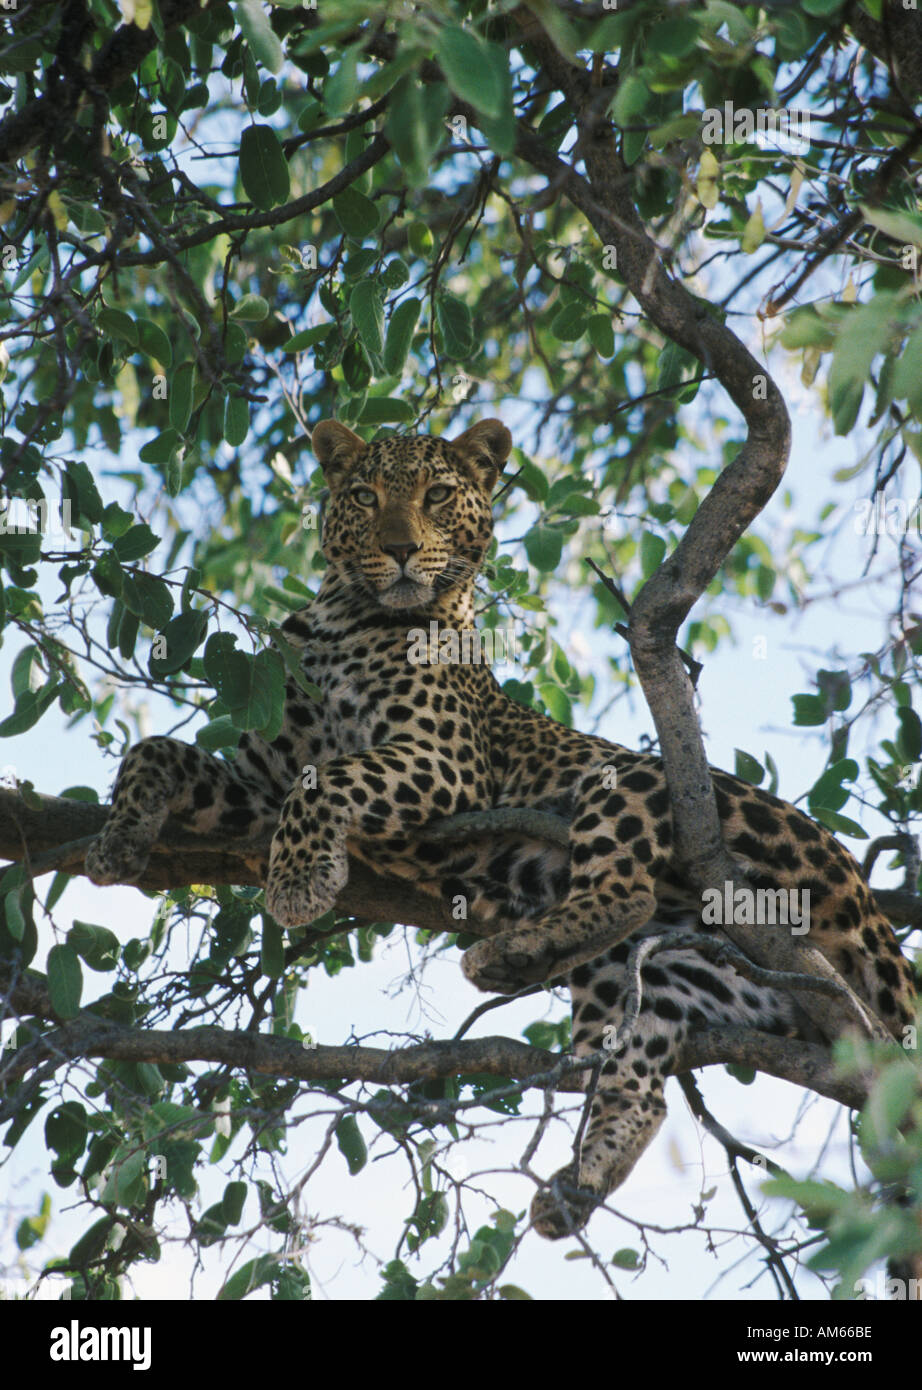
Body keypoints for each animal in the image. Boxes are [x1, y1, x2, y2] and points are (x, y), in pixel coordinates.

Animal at [86, 417, 917, 1239]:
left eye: (436, 494)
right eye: (365, 495)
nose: (398, 547)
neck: (343, 619)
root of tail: (866, 899)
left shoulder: (442, 760)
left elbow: (327, 783)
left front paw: (295, 885)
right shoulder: (257, 789)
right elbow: (157, 750)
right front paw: (119, 838)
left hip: (644, 779)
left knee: (624, 889)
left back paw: (505, 956)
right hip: (673, 975)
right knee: (635, 1065)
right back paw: (572, 1174)